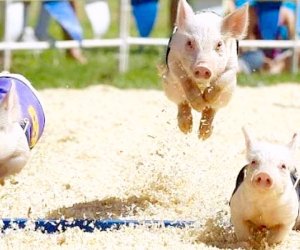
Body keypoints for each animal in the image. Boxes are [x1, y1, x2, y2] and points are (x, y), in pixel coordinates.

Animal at [162, 0, 248, 140]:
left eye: (219, 44)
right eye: (189, 43)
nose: (202, 67)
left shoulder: (233, 65)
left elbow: (222, 80)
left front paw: (207, 99)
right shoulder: (173, 59)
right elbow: (185, 79)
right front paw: (199, 105)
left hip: (228, 94)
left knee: (213, 109)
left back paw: (203, 135)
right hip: (169, 86)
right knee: (181, 102)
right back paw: (186, 129)